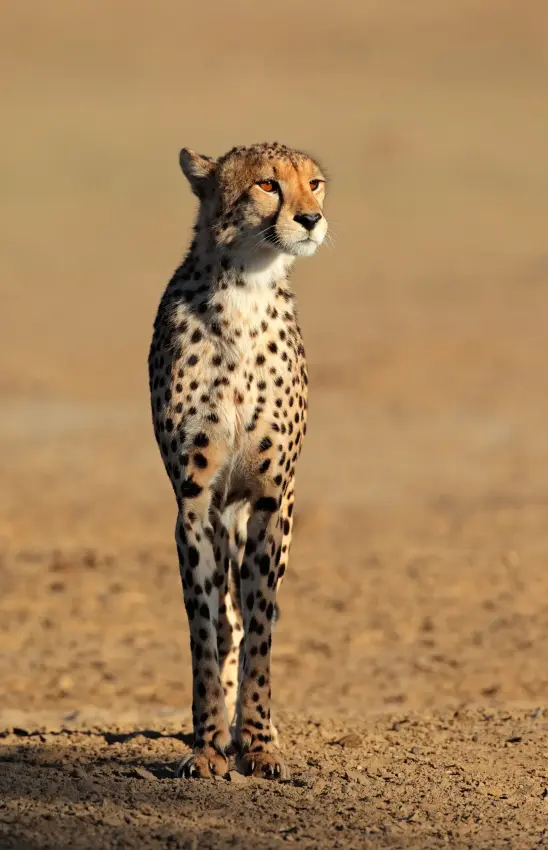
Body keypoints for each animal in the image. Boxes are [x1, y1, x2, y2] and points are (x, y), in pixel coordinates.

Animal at [148, 141, 328, 780]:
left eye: (315, 184)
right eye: (267, 184)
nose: (311, 219)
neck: (245, 291)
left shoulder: (272, 499)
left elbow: (260, 628)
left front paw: (257, 742)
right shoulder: (195, 503)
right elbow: (207, 631)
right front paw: (208, 745)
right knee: (224, 621)